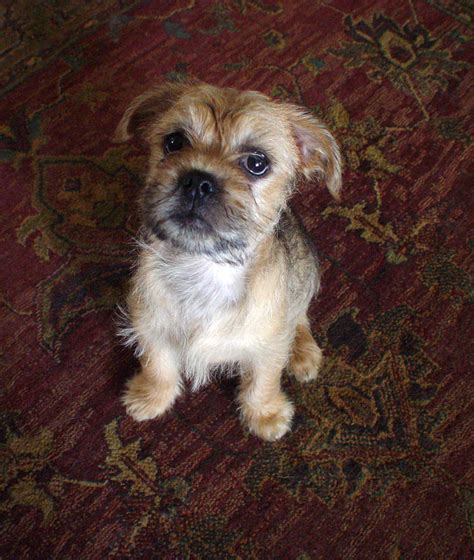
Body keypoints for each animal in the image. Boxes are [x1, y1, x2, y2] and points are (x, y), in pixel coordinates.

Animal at [115, 83, 340, 442]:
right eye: (174, 142)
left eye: (257, 163)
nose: (197, 181)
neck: (206, 268)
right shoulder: (149, 323)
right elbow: (157, 363)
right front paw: (151, 397)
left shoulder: (266, 346)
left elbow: (263, 380)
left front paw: (265, 415)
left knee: (299, 317)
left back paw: (303, 352)